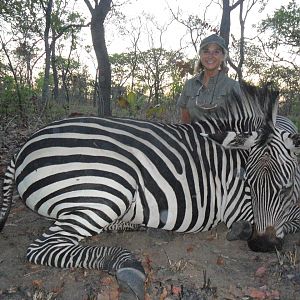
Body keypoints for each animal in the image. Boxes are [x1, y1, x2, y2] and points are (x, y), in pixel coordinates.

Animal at [0, 83, 300, 298]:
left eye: (285, 188)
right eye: (249, 183)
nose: (261, 246)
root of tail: (24, 145)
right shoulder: (239, 204)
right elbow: (287, 222)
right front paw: (243, 230)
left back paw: (134, 226)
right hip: (113, 185)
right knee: (44, 247)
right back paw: (126, 265)